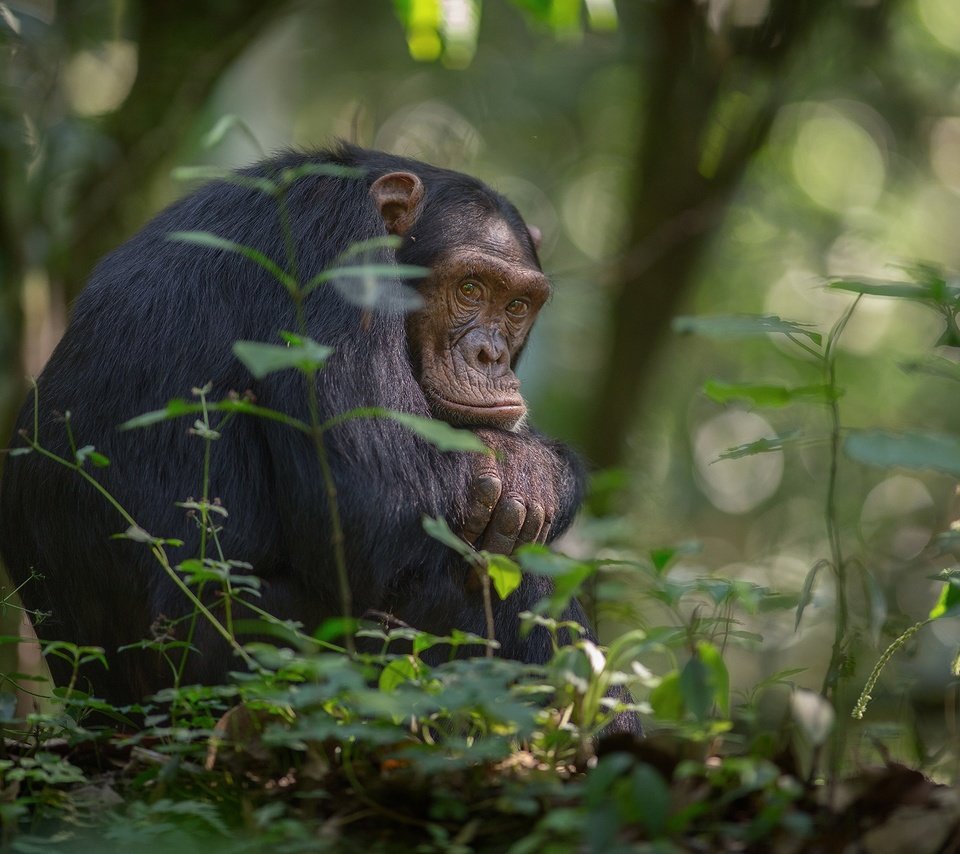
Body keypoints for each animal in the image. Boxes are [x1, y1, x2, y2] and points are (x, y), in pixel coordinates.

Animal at [3, 145, 640, 736]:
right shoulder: (329, 246)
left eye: (516, 305)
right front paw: (532, 471)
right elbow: (373, 497)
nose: (491, 355)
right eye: (469, 288)